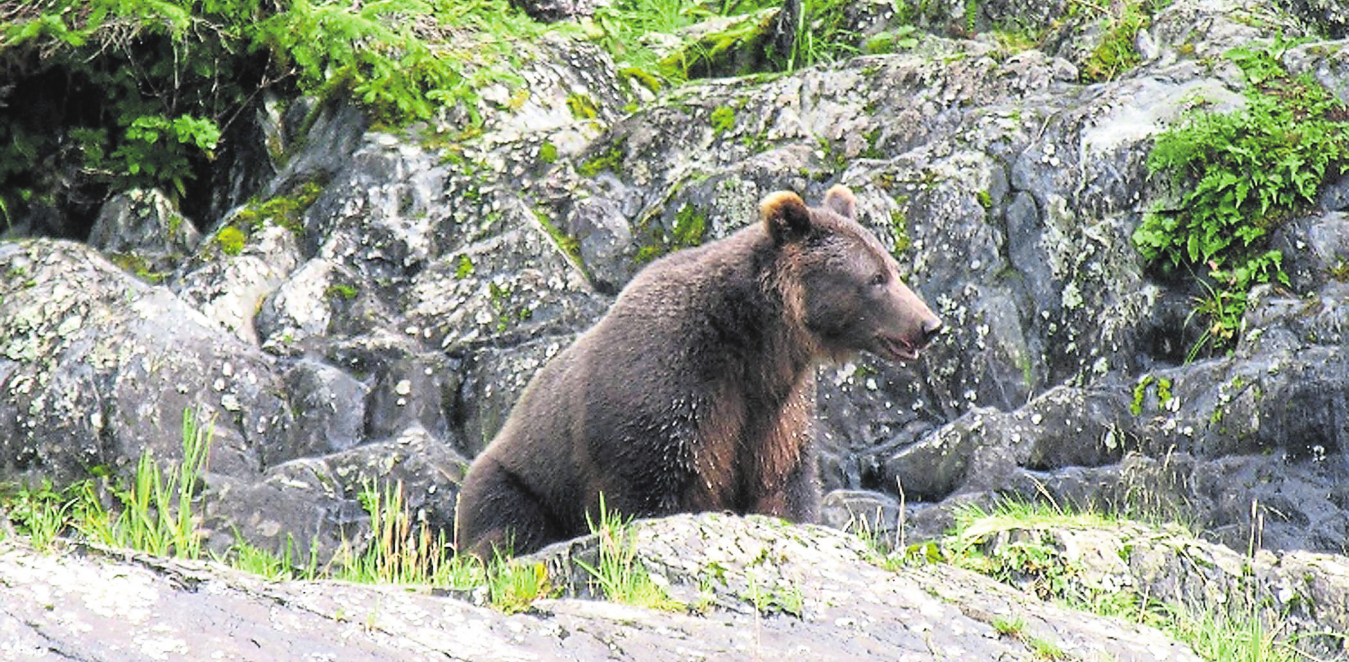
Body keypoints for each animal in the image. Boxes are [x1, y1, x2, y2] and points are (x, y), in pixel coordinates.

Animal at [453, 186, 938, 560]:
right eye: (875, 279)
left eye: (893, 269)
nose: (929, 325)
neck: (754, 340)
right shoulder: (672, 391)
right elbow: (652, 487)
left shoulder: (777, 405)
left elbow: (783, 481)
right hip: (520, 481)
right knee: (508, 526)